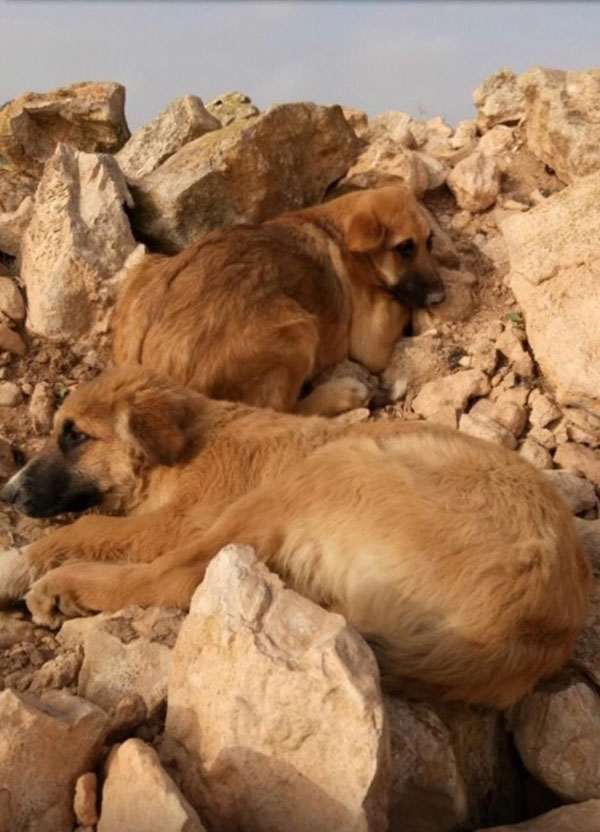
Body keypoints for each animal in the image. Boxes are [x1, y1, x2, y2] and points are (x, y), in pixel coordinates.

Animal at [1, 368, 592, 708]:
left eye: (76, 436)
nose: (8, 494)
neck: (193, 439)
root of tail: (528, 629)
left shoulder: (183, 521)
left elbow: (93, 527)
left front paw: (21, 562)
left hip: (329, 466)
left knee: (177, 577)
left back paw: (65, 588)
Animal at [112, 184, 446, 412]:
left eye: (430, 242)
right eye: (404, 248)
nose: (440, 297)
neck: (336, 230)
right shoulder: (370, 341)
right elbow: (399, 303)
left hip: (149, 265)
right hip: (297, 329)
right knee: (283, 411)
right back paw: (343, 394)